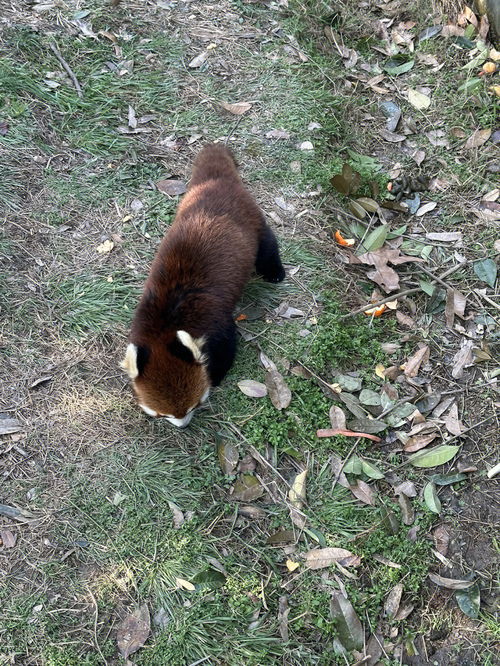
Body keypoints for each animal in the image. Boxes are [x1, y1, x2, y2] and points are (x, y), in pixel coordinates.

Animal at [120, 143, 286, 428]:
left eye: (194, 405)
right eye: (163, 414)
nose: (183, 426)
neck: (166, 323)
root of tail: (215, 181)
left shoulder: (215, 320)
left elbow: (227, 346)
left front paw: (215, 376)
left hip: (251, 221)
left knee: (266, 245)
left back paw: (275, 271)